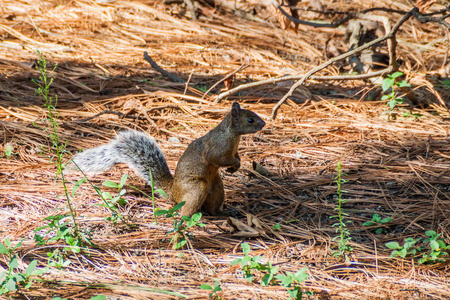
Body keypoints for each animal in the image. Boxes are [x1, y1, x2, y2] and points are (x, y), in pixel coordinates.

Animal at [69, 102, 266, 216]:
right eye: (250, 120)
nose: (264, 124)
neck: (233, 135)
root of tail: (174, 193)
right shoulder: (217, 148)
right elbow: (218, 158)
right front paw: (234, 165)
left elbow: (235, 157)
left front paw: (236, 165)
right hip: (196, 188)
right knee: (188, 209)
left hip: (217, 188)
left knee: (212, 207)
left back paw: (224, 213)